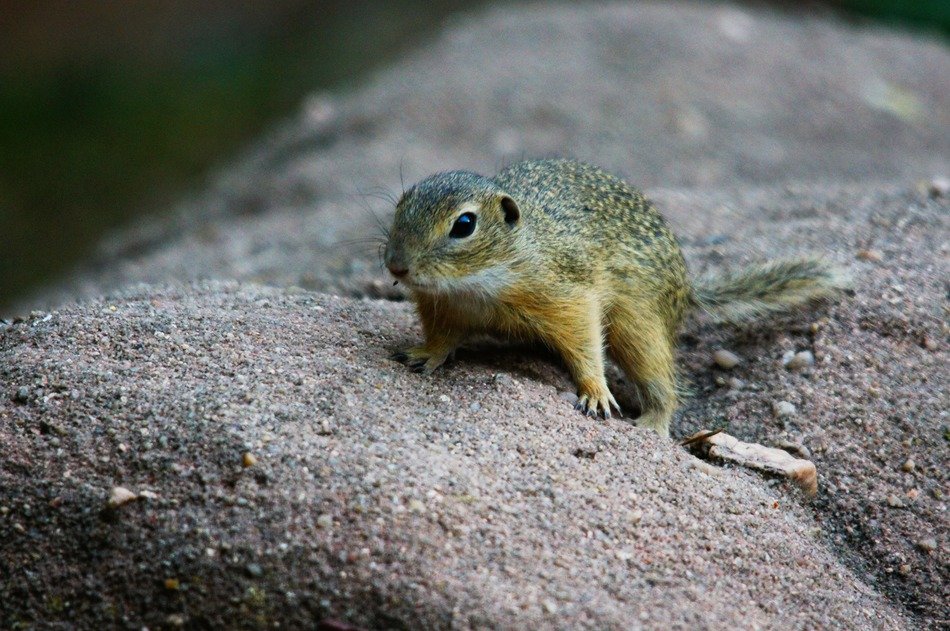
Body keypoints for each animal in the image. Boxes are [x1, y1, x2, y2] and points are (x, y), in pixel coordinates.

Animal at [384, 159, 848, 436]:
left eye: (464, 224)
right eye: (400, 205)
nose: (395, 266)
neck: (477, 284)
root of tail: (687, 289)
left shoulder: (569, 296)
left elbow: (585, 342)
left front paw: (594, 391)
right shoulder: (442, 307)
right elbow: (442, 338)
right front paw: (425, 353)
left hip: (639, 324)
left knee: (661, 379)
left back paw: (652, 424)